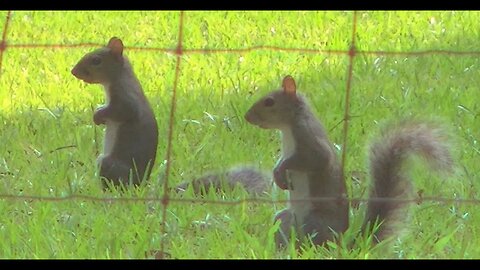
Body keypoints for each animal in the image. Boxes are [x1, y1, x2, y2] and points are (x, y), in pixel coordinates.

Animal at [71, 37, 158, 190]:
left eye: (96, 60)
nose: (73, 71)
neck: (120, 76)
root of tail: (140, 184)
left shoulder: (125, 98)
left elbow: (123, 111)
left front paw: (98, 116)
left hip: (109, 165)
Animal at [244, 75, 454, 248]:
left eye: (269, 102)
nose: (247, 117)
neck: (288, 127)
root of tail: (342, 242)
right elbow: (282, 160)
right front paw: (277, 172)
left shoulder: (310, 139)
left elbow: (315, 159)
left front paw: (282, 170)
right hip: (286, 218)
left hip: (313, 221)